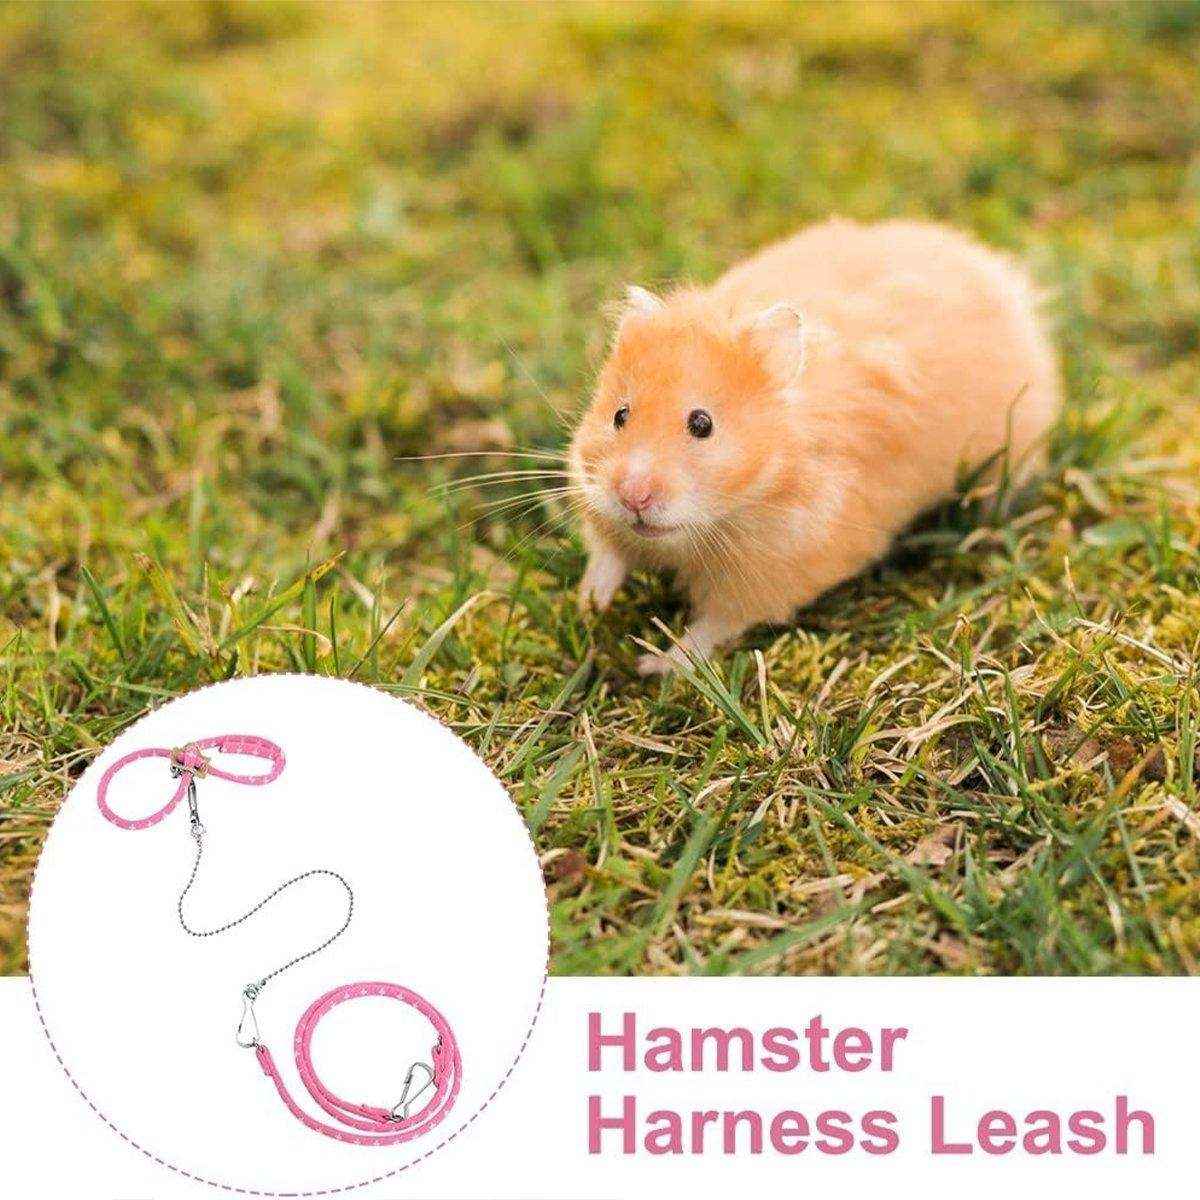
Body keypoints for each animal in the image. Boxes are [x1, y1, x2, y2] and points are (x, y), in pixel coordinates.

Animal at [569, 218, 1061, 675]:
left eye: (702, 424)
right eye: (619, 415)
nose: (633, 496)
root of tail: (995, 272)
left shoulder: (774, 570)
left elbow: (713, 626)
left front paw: (653, 666)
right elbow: (607, 553)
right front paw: (589, 606)